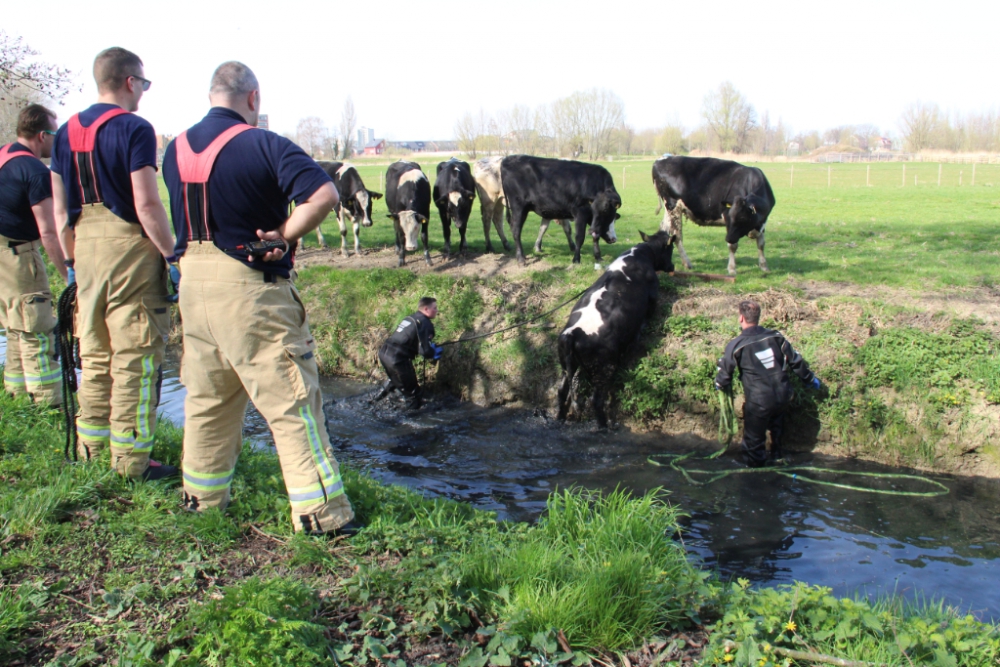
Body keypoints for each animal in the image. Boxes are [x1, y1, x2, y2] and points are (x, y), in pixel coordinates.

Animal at [560, 230, 676, 428]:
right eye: (671, 248)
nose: (673, 266)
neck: (641, 254)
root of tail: (572, 333)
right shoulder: (653, 297)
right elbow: (648, 316)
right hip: (603, 367)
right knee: (596, 399)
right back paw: (604, 426)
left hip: (566, 365)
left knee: (561, 392)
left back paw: (559, 417)